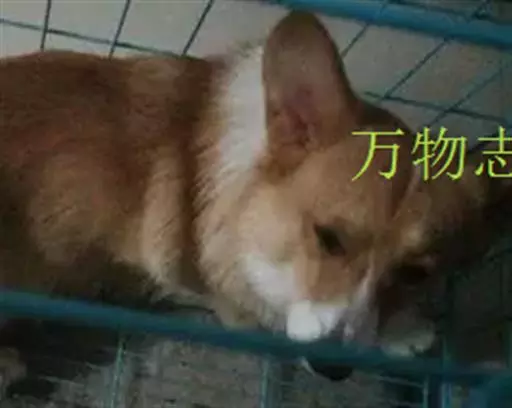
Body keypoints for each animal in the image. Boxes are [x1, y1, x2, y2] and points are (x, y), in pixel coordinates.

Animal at [0, 11, 502, 389]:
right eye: (328, 238)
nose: (334, 369)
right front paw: (405, 332)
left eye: (416, 273)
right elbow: (274, 313)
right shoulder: (236, 304)